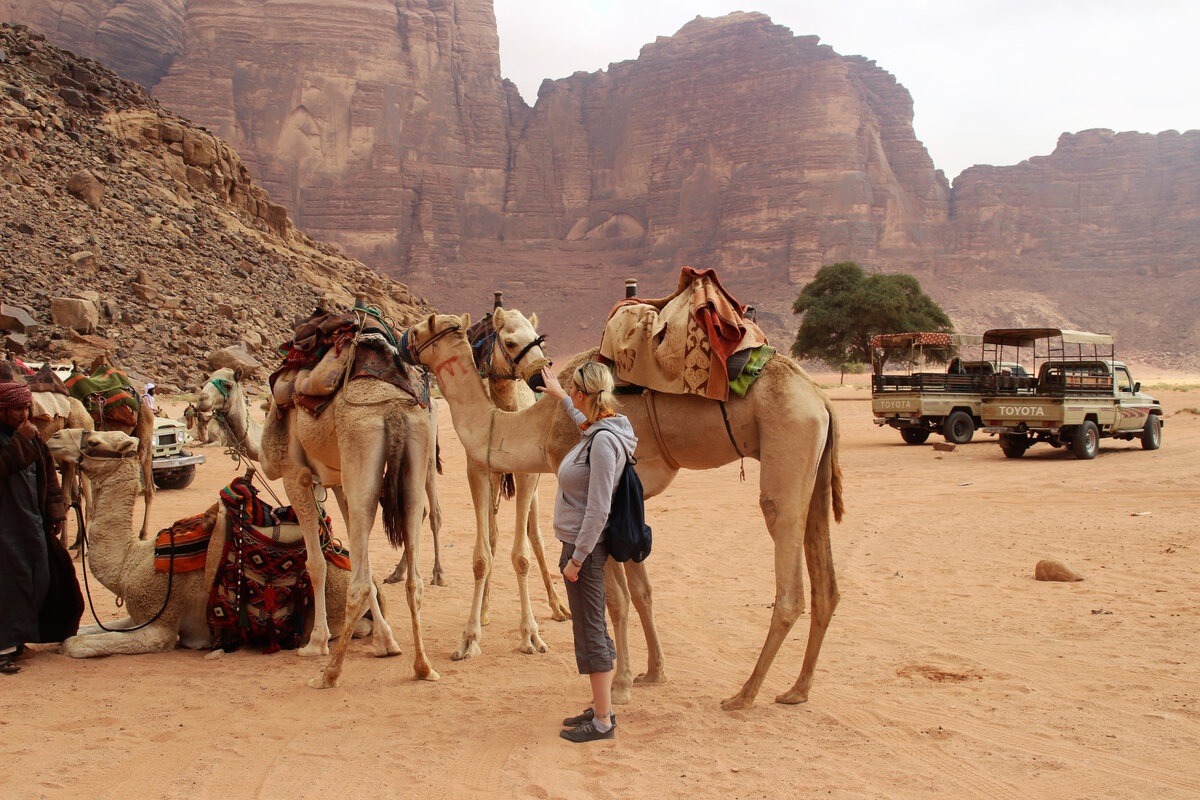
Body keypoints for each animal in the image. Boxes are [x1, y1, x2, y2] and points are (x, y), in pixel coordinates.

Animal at [44, 429, 374, 662]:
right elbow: (80, 631)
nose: (54, 437)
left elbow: (75, 643)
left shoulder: (159, 626)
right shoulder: (138, 617)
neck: (130, 562)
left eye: (94, 440)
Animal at [403, 309, 844, 710]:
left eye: (425, 326)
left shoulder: (599, 497)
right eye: (511, 340)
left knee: (788, 578)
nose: (404, 340)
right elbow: (642, 591)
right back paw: (797, 689)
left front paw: (620, 684)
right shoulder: (631, 506)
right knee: (826, 582)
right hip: (814, 469)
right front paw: (654, 671)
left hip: (787, 444)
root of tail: (820, 397)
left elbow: (615, 598)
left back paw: (745, 694)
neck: (543, 424)